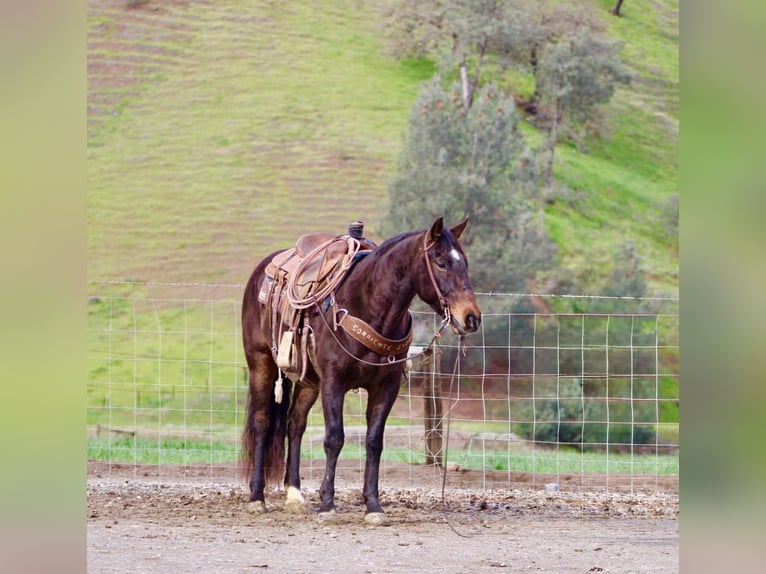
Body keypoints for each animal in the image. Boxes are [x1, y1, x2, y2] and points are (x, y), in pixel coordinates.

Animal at [240, 217, 481, 524]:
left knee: (295, 424)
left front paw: (373, 506)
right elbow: (334, 439)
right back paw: (256, 498)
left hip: (308, 381)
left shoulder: (386, 387)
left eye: (465, 263)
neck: (366, 304)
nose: (471, 318)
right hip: (260, 363)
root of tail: (263, 269)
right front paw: (328, 506)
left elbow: (374, 442)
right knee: (262, 422)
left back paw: (294, 494)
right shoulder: (334, 382)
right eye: (441, 262)